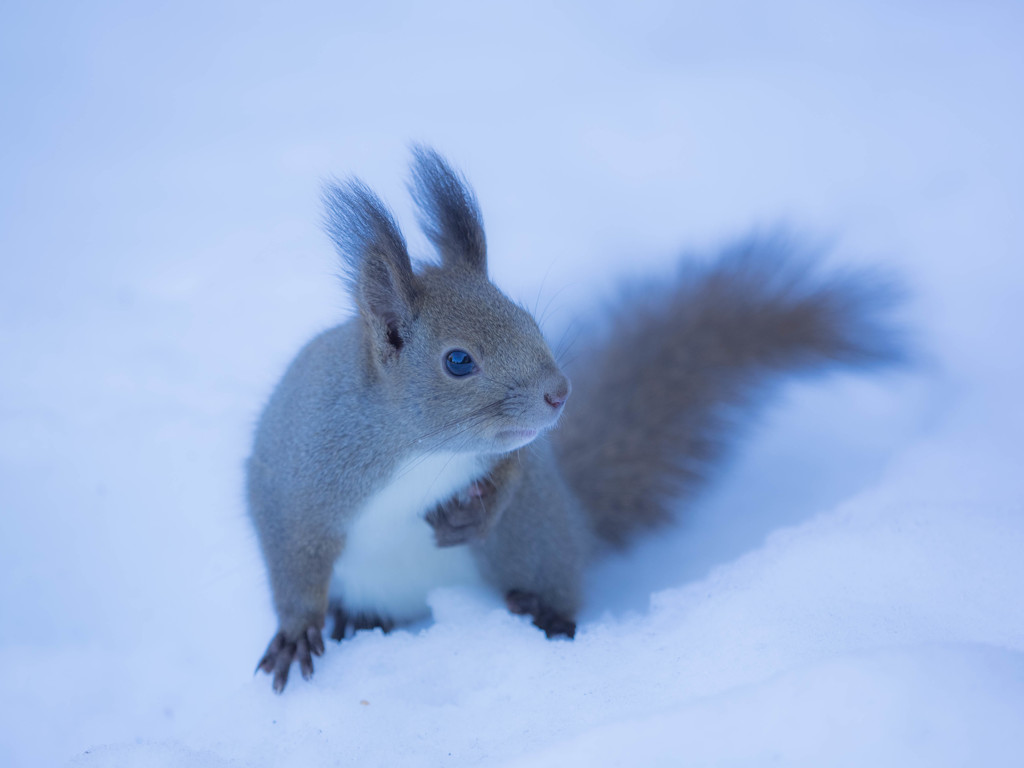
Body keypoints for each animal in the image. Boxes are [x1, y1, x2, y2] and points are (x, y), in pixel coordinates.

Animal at [243, 144, 901, 692]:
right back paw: (353, 621)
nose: (559, 393)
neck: (420, 448)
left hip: (534, 543)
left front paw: (481, 507)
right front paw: (297, 633)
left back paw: (544, 616)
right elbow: (293, 553)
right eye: (458, 360)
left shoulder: (514, 451)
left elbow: (517, 464)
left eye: (531, 321)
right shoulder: (302, 474)